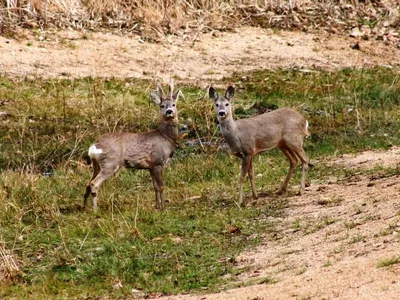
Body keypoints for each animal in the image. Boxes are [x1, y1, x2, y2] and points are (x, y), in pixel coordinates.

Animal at [84, 81, 181, 210]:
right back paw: (95, 210)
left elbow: (155, 187)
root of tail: (94, 146)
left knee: (88, 183)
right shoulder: (158, 162)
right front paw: (163, 208)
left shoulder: (151, 166)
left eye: (174, 104)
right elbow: (161, 186)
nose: (169, 111)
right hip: (110, 162)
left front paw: (156, 206)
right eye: (162, 105)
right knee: (94, 183)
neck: (165, 137)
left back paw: (84, 208)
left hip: (97, 164)